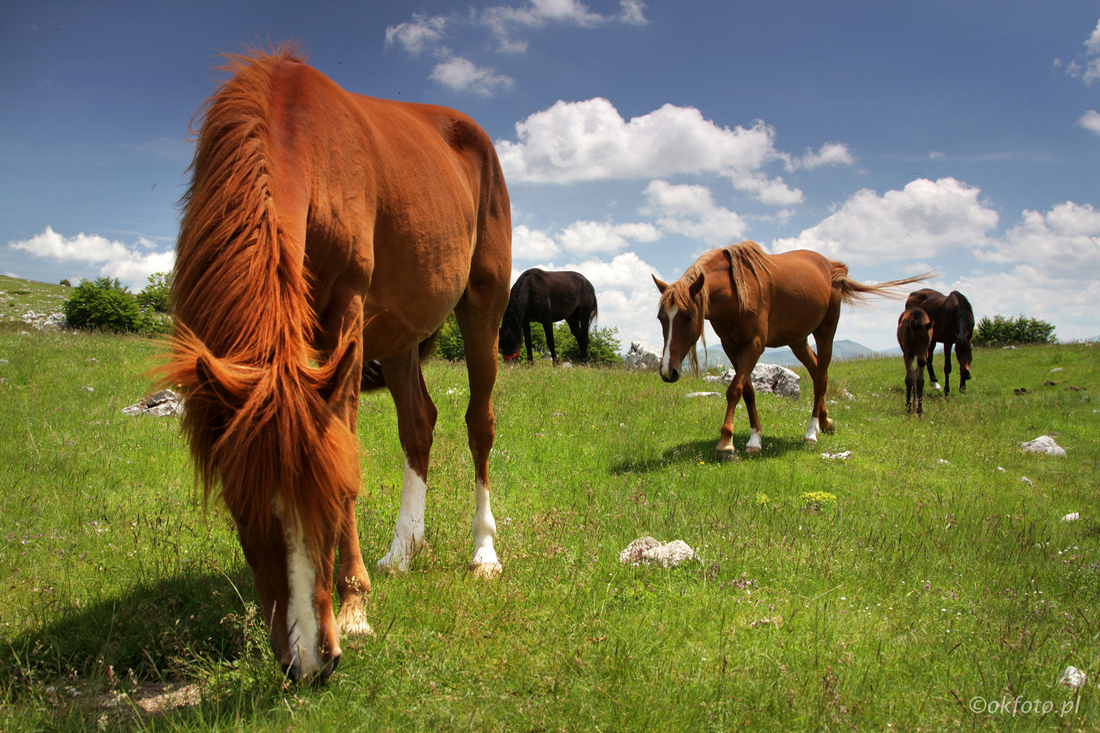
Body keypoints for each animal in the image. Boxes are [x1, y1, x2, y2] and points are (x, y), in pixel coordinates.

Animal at [160, 48, 512, 677]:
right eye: (242, 514)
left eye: (330, 501)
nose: (310, 662)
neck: (294, 135)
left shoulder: (346, 309)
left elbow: (344, 441)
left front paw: (354, 608)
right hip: (397, 335)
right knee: (418, 424)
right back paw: (404, 548)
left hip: (482, 308)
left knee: (480, 425)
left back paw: (482, 551)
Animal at [655, 241, 932, 457]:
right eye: (661, 318)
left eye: (689, 317)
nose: (668, 372)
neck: (737, 290)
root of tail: (833, 267)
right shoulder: (731, 346)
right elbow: (748, 391)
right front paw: (755, 439)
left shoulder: (755, 345)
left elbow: (734, 389)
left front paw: (726, 442)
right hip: (798, 340)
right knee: (816, 369)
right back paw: (825, 422)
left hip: (826, 331)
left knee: (820, 378)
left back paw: (812, 432)